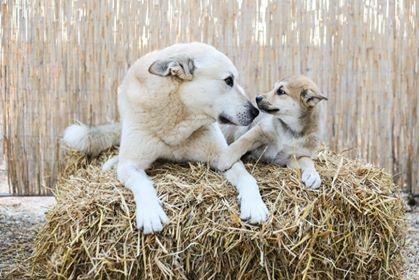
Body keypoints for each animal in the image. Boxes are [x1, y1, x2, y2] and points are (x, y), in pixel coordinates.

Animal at [64, 42, 270, 234]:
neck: (179, 123)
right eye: (228, 80)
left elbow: (248, 178)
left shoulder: (224, 159)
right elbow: (143, 183)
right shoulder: (130, 166)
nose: (255, 112)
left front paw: (255, 205)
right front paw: (150, 214)